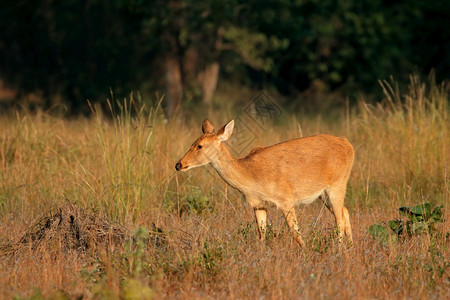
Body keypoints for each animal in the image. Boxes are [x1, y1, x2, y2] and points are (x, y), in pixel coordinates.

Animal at [174, 119, 354, 246]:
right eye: (192, 143)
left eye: (200, 146)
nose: (179, 164)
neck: (252, 178)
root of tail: (348, 144)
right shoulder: (259, 205)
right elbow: (261, 236)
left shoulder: (286, 199)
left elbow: (296, 234)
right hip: (323, 194)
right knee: (345, 212)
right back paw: (350, 248)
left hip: (338, 184)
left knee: (339, 220)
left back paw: (338, 249)